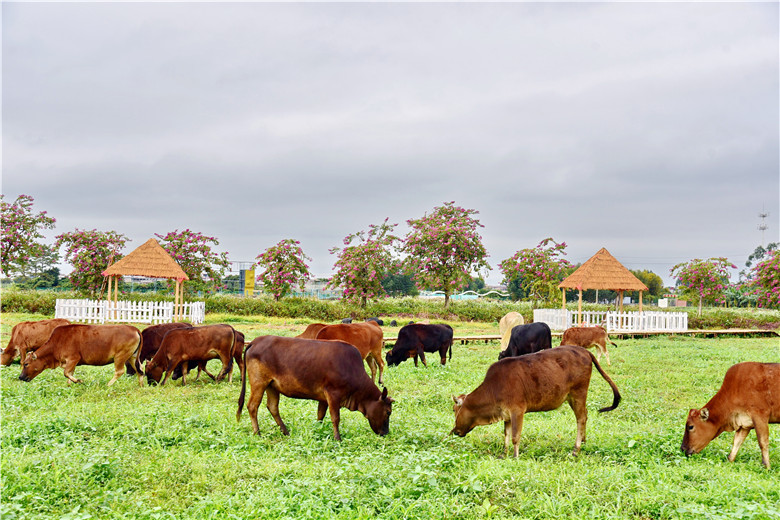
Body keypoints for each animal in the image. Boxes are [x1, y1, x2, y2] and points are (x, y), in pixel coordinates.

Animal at [236, 336, 396, 440]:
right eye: (388, 412)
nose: (386, 433)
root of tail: (255, 342)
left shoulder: (323, 398)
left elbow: (320, 415)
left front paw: (318, 429)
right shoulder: (333, 394)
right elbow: (335, 418)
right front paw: (337, 438)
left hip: (272, 385)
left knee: (273, 407)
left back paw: (285, 431)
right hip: (259, 382)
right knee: (252, 406)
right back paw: (258, 433)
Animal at [450, 348, 620, 458]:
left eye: (454, 409)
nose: (454, 431)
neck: (494, 387)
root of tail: (585, 351)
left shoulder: (517, 410)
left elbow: (515, 436)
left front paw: (515, 456)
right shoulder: (506, 414)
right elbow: (506, 434)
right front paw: (504, 454)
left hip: (578, 393)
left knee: (581, 418)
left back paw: (576, 449)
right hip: (572, 397)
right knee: (585, 415)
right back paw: (584, 441)